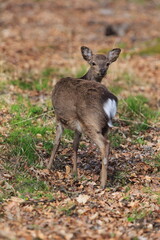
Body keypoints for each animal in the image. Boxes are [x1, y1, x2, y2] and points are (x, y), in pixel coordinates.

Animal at [47, 46, 121, 188]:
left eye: (107, 63)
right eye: (93, 62)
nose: (102, 71)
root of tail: (109, 99)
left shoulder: (59, 117)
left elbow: (57, 142)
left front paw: (47, 167)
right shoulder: (78, 125)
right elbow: (75, 145)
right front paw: (75, 172)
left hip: (91, 122)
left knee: (105, 144)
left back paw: (102, 184)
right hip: (104, 126)